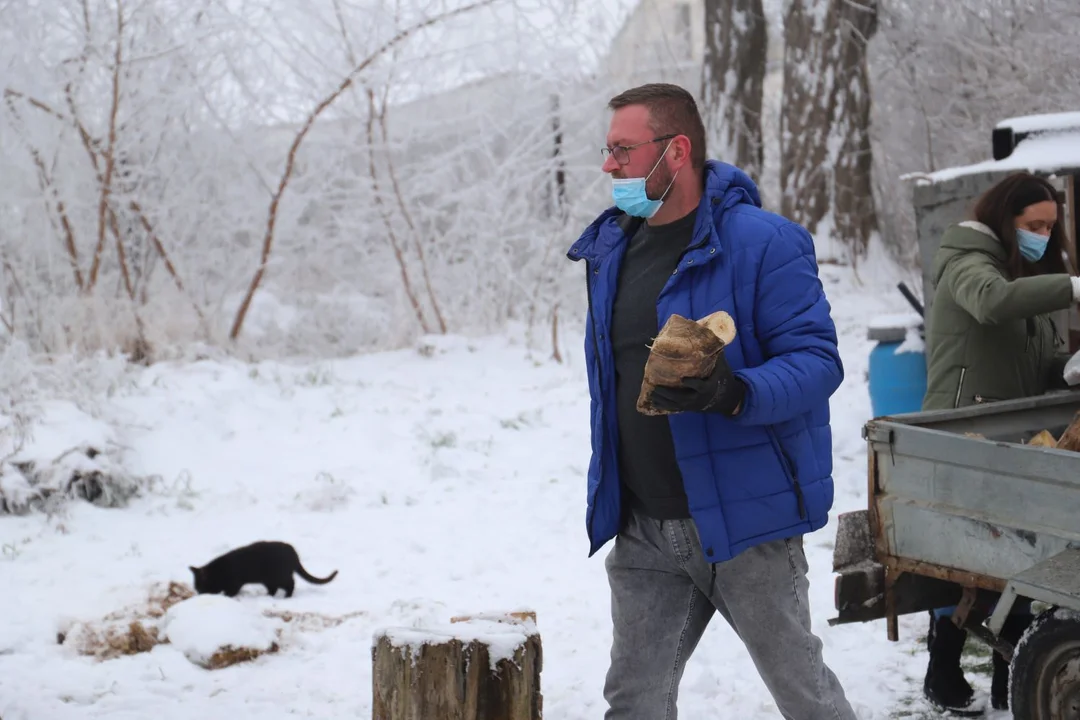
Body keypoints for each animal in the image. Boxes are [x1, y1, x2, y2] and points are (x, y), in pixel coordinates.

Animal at [187, 537, 334, 600]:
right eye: (197, 588)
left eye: (201, 588)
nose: (199, 594)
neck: (218, 572)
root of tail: (293, 552)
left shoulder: (234, 583)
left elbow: (231, 592)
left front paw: (226, 597)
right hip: (269, 580)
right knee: (274, 589)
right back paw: (268, 596)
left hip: (279, 577)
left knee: (290, 584)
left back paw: (287, 597)